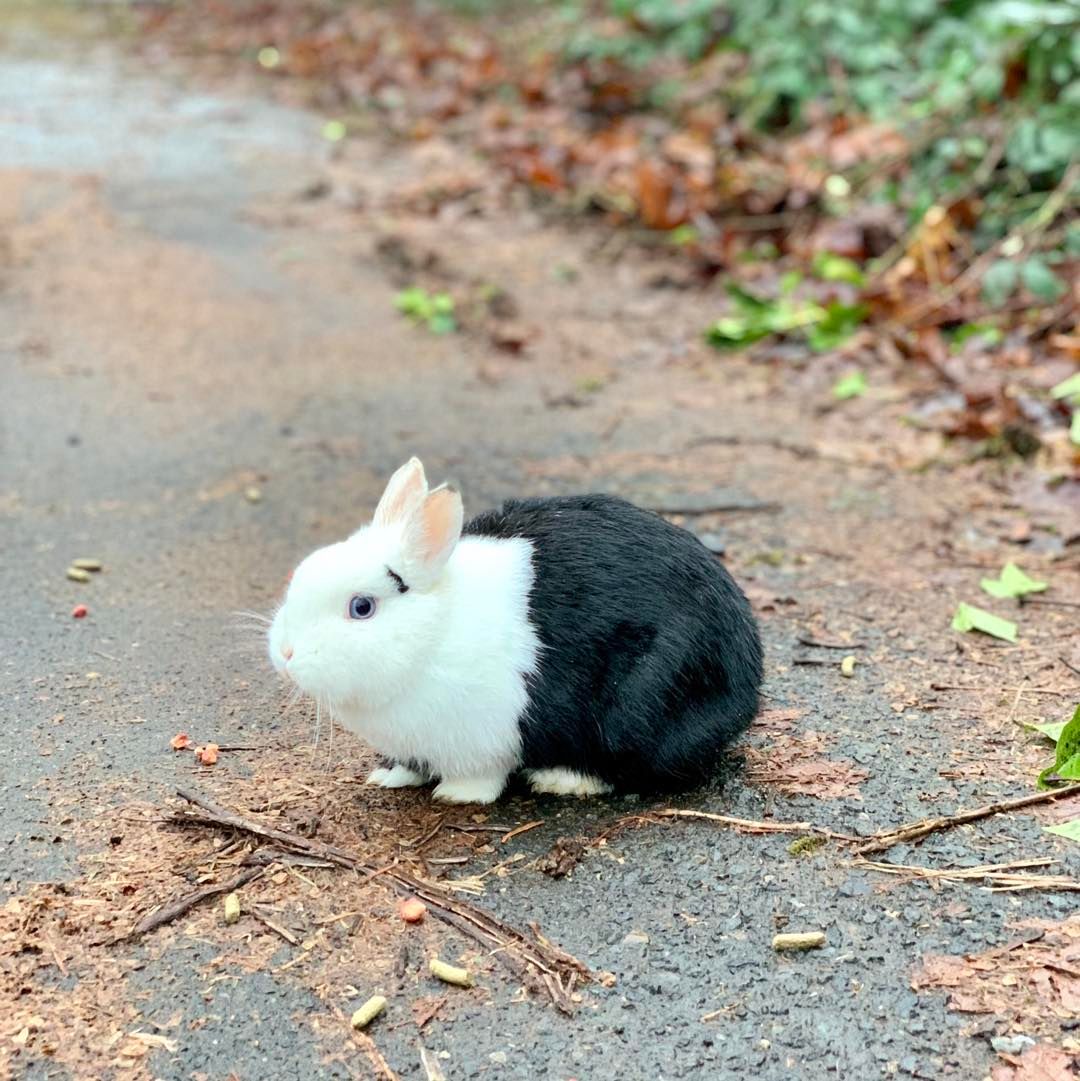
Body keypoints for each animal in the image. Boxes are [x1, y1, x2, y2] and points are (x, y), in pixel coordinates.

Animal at [268, 457, 763, 804]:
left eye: (362, 607)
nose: (286, 654)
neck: (432, 635)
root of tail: (749, 676)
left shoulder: (484, 737)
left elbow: (482, 777)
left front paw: (457, 795)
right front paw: (389, 775)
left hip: (642, 706)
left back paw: (563, 780)